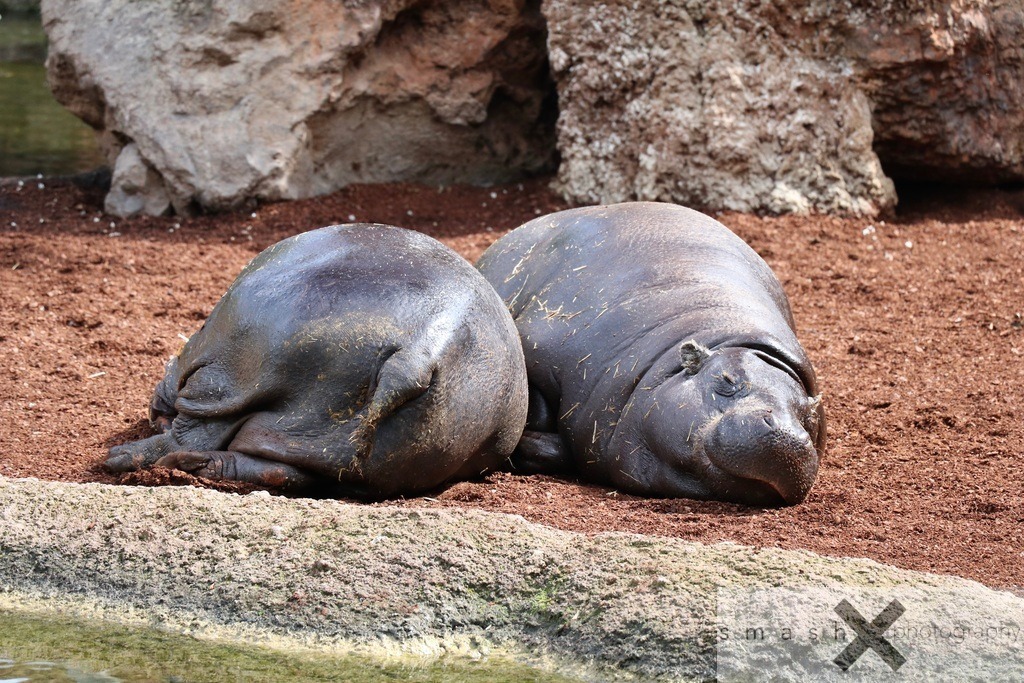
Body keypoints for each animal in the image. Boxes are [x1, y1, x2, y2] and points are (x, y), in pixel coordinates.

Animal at [106, 224, 529, 498]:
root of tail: (421, 352)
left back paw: (120, 458)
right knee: (286, 470)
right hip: (341, 444)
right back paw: (194, 466)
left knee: (193, 431)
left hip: (241, 374)